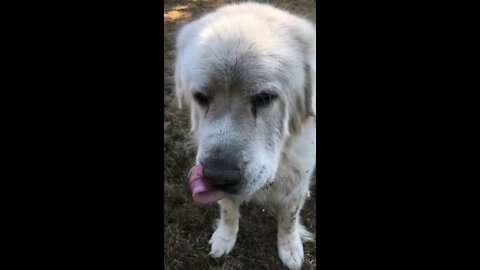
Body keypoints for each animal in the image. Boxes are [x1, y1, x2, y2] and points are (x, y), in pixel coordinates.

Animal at [174, 2, 316, 270]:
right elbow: (228, 210)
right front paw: (224, 238)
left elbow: (289, 219)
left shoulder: (296, 183)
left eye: (264, 98)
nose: (218, 176)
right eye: (201, 98)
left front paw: (290, 248)